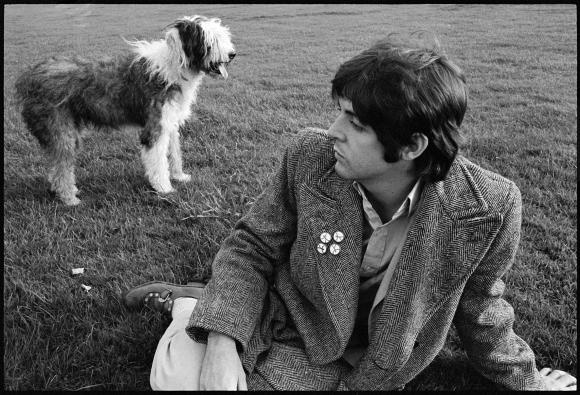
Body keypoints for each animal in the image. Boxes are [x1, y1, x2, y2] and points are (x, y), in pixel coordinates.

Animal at [14, 14, 236, 207]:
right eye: (211, 40)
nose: (232, 54)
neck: (175, 67)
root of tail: (29, 76)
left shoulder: (170, 123)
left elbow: (174, 154)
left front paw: (179, 176)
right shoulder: (155, 125)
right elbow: (158, 160)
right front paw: (164, 188)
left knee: (56, 165)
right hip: (60, 129)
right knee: (61, 166)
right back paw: (69, 198)